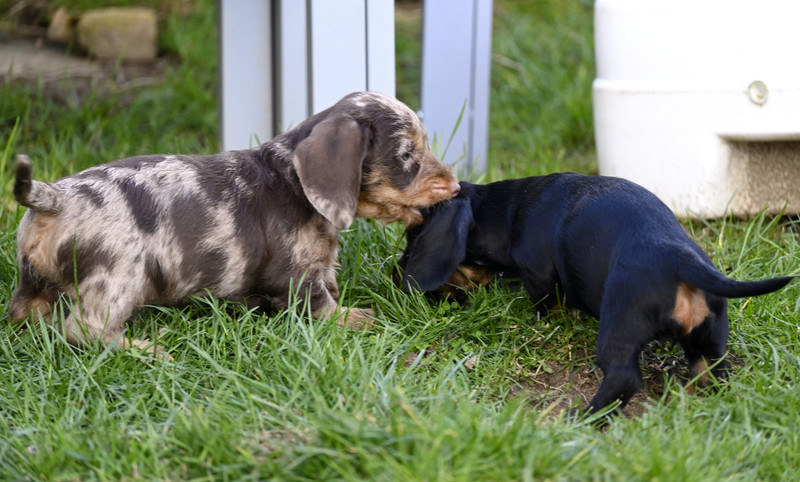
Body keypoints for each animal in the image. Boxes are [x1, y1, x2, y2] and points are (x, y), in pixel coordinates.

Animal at [9, 91, 460, 355]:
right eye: (406, 154)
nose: (456, 186)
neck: (291, 179)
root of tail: (55, 197)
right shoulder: (296, 277)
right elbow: (322, 305)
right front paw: (355, 318)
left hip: (31, 279)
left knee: (25, 313)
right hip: (119, 278)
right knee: (81, 329)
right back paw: (143, 347)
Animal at [399, 173, 793, 416]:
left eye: (413, 235)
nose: (395, 274)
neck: (510, 210)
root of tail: (680, 260)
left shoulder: (537, 273)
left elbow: (546, 304)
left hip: (619, 324)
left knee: (623, 378)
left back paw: (583, 417)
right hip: (709, 343)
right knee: (712, 372)